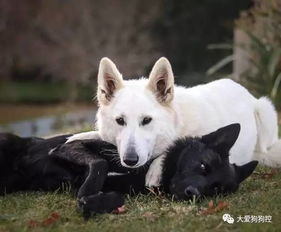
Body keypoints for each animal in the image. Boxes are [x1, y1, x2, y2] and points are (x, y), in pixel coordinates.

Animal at [0, 123, 256, 218]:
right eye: (203, 166)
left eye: (216, 189)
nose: (193, 194)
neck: (147, 169)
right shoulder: (67, 147)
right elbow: (100, 164)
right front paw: (86, 196)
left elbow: (116, 196)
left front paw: (93, 202)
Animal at [66, 57, 278, 188]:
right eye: (120, 121)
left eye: (146, 120)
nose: (130, 160)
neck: (177, 123)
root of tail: (244, 91)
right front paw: (75, 137)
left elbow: (174, 147)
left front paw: (156, 169)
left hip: (265, 111)